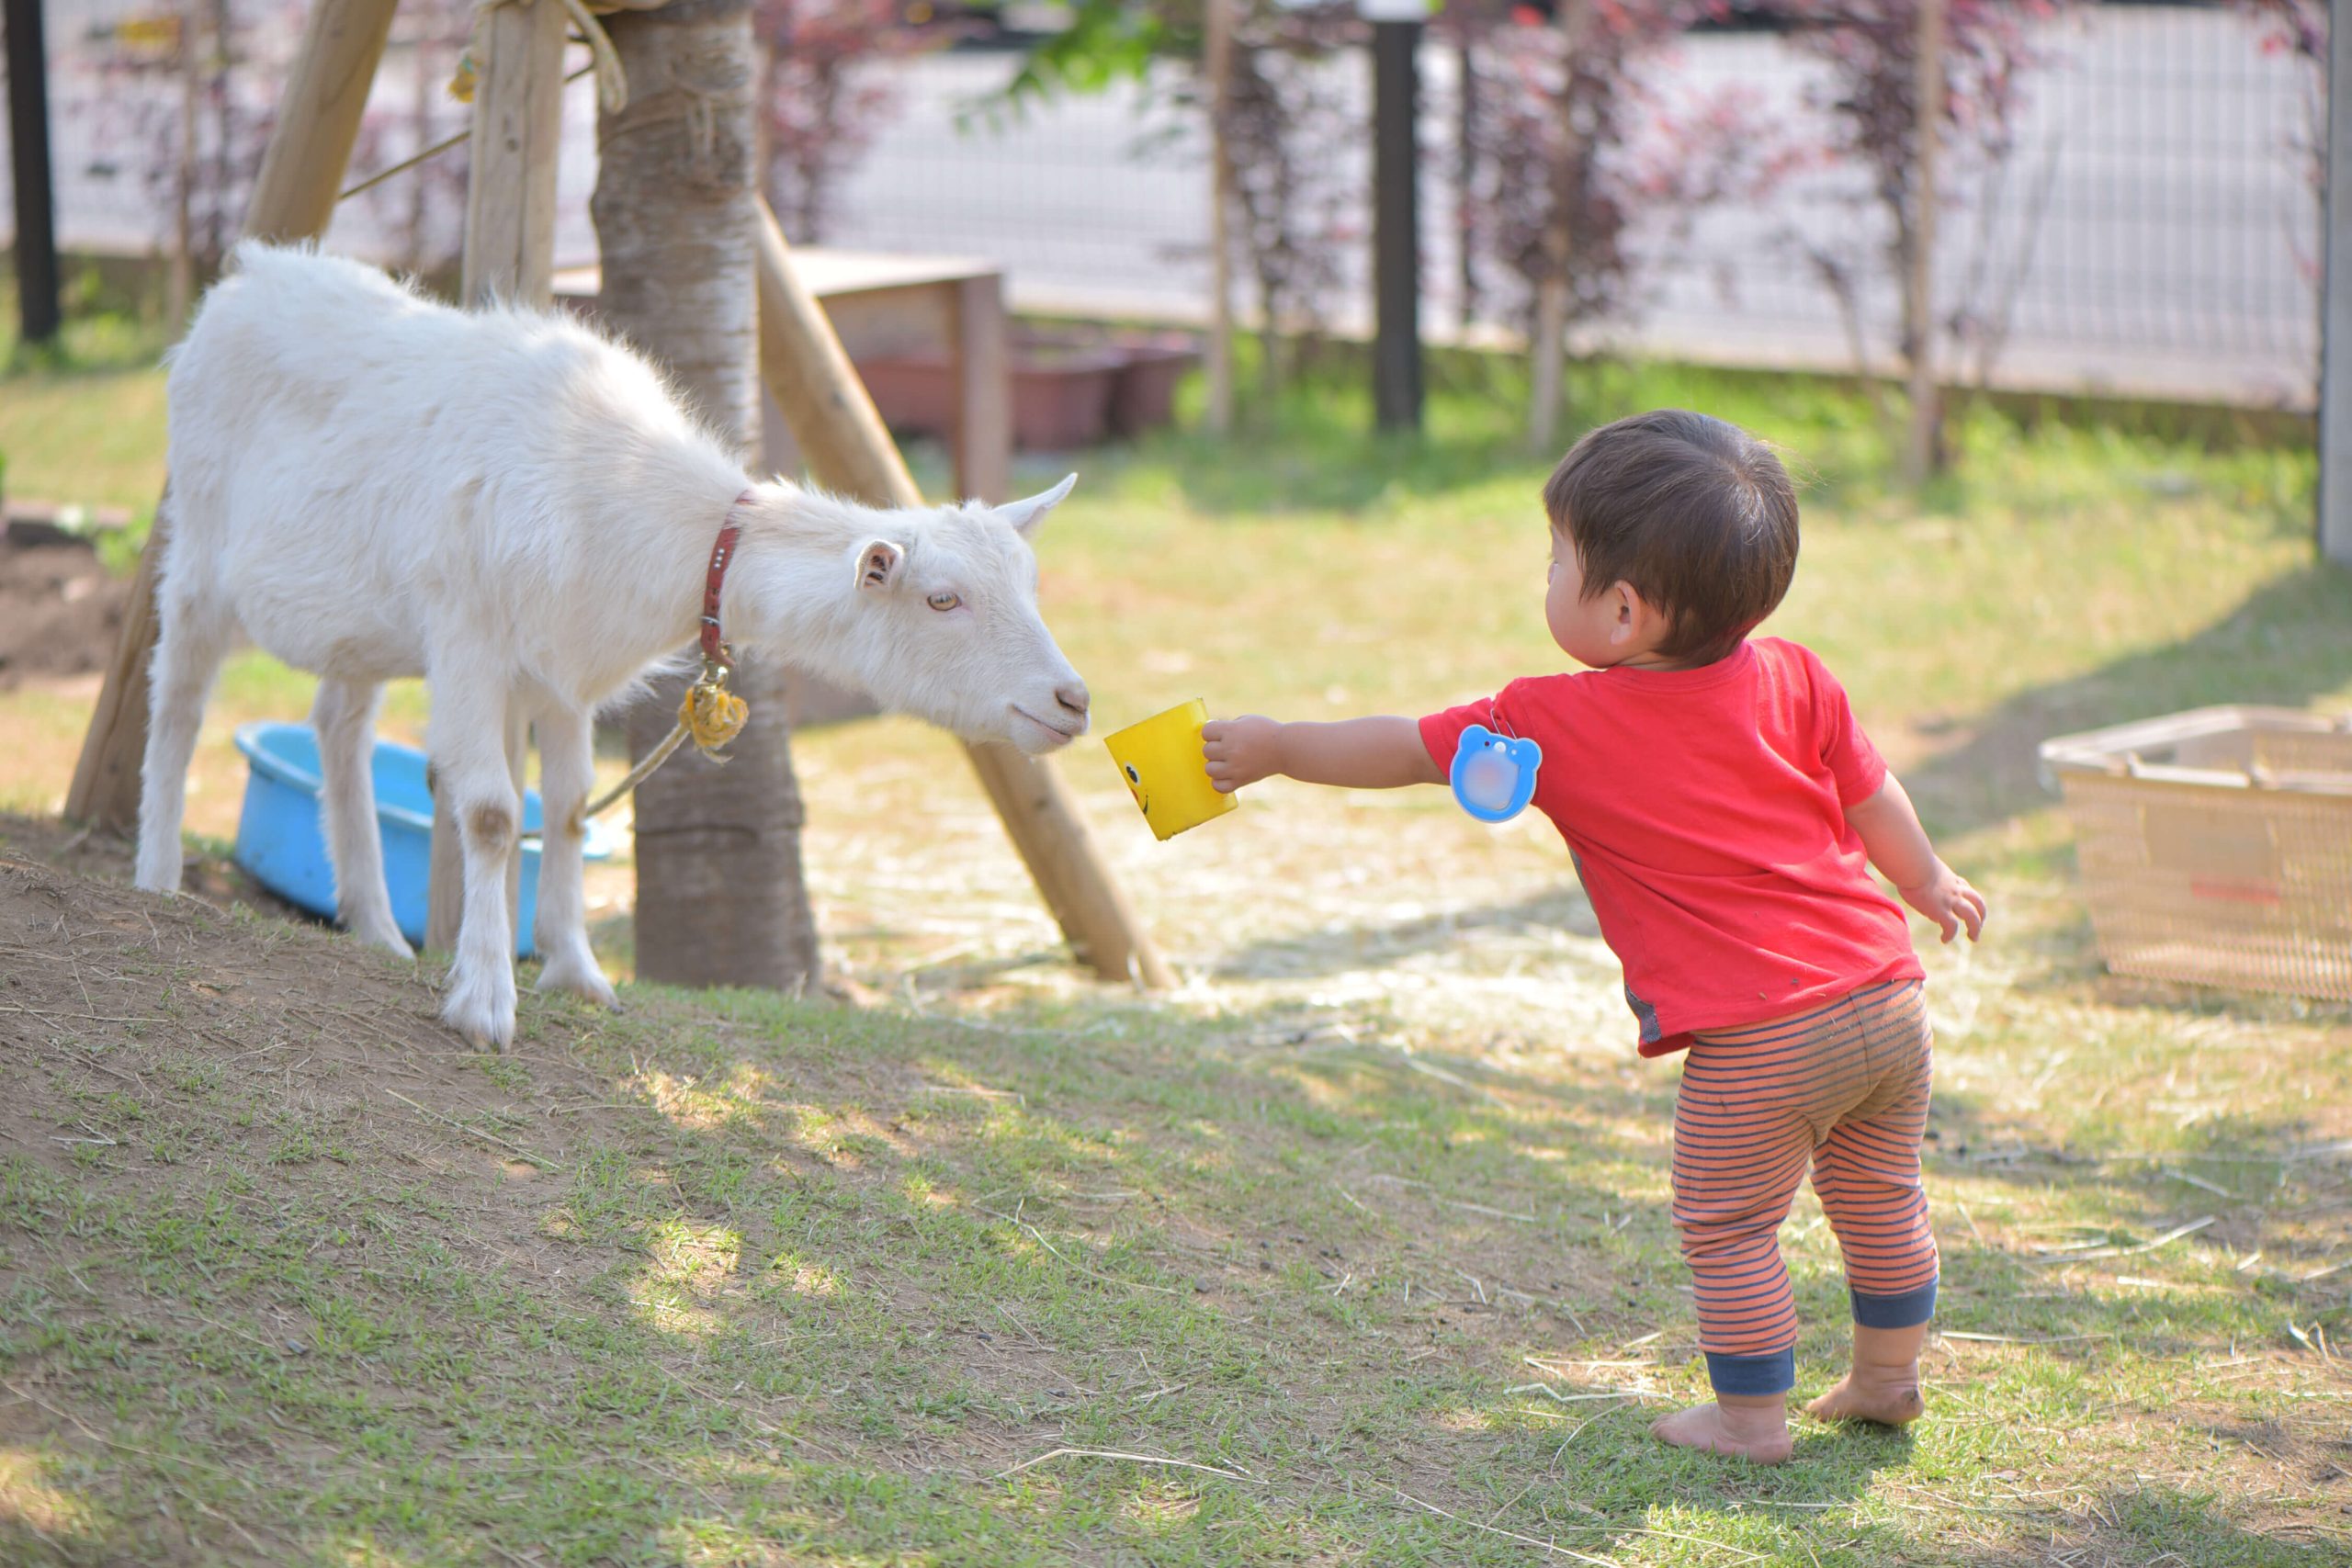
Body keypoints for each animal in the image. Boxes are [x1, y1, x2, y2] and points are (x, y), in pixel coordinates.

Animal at [147, 245, 1091, 1048]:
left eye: (1031, 582)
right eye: (943, 598)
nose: (1072, 699)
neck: (621, 491)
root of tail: (247, 275)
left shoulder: (562, 670)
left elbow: (565, 806)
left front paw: (576, 971)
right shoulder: (469, 639)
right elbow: (492, 813)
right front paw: (484, 1002)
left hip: (363, 623)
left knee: (338, 724)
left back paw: (376, 926)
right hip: (197, 539)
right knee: (179, 700)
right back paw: (156, 877)